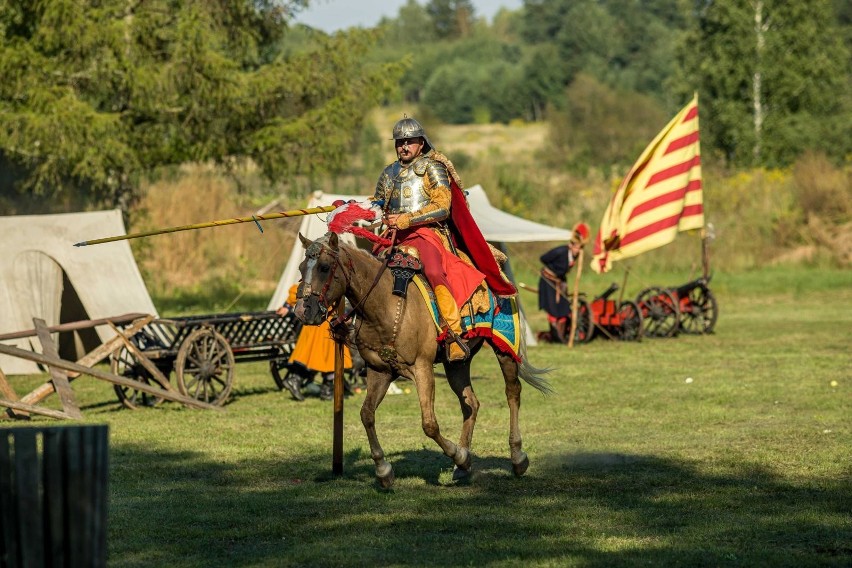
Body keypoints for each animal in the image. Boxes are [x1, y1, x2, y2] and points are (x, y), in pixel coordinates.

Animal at [292, 231, 552, 488]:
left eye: (324, 267)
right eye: (301, 267)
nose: (303, 311)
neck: (384, 305)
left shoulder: (422, 368)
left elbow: (429, 424)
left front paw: (458, 455)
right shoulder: (379, 371)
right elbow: (367, 415)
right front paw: (384, 470)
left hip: (504, 347)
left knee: (512, 393)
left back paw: (517, 457)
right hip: (456, 362)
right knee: (470, 403)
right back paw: (463, 467)